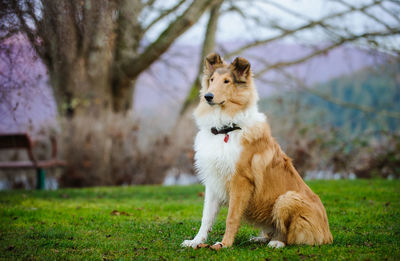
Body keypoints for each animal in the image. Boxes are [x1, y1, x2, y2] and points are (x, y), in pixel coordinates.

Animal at [181, 52, 332, 248]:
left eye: (227, 81)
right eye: (212, 79)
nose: (208, 96)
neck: (226, 129)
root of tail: (328, 234)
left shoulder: (240, 180)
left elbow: (231, 217)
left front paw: (225, 244)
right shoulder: (214, 180)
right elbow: (206, 217)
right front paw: (195, 241)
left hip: (287, 198)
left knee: (290, 236)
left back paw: (277, 242)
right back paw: (261, 238)